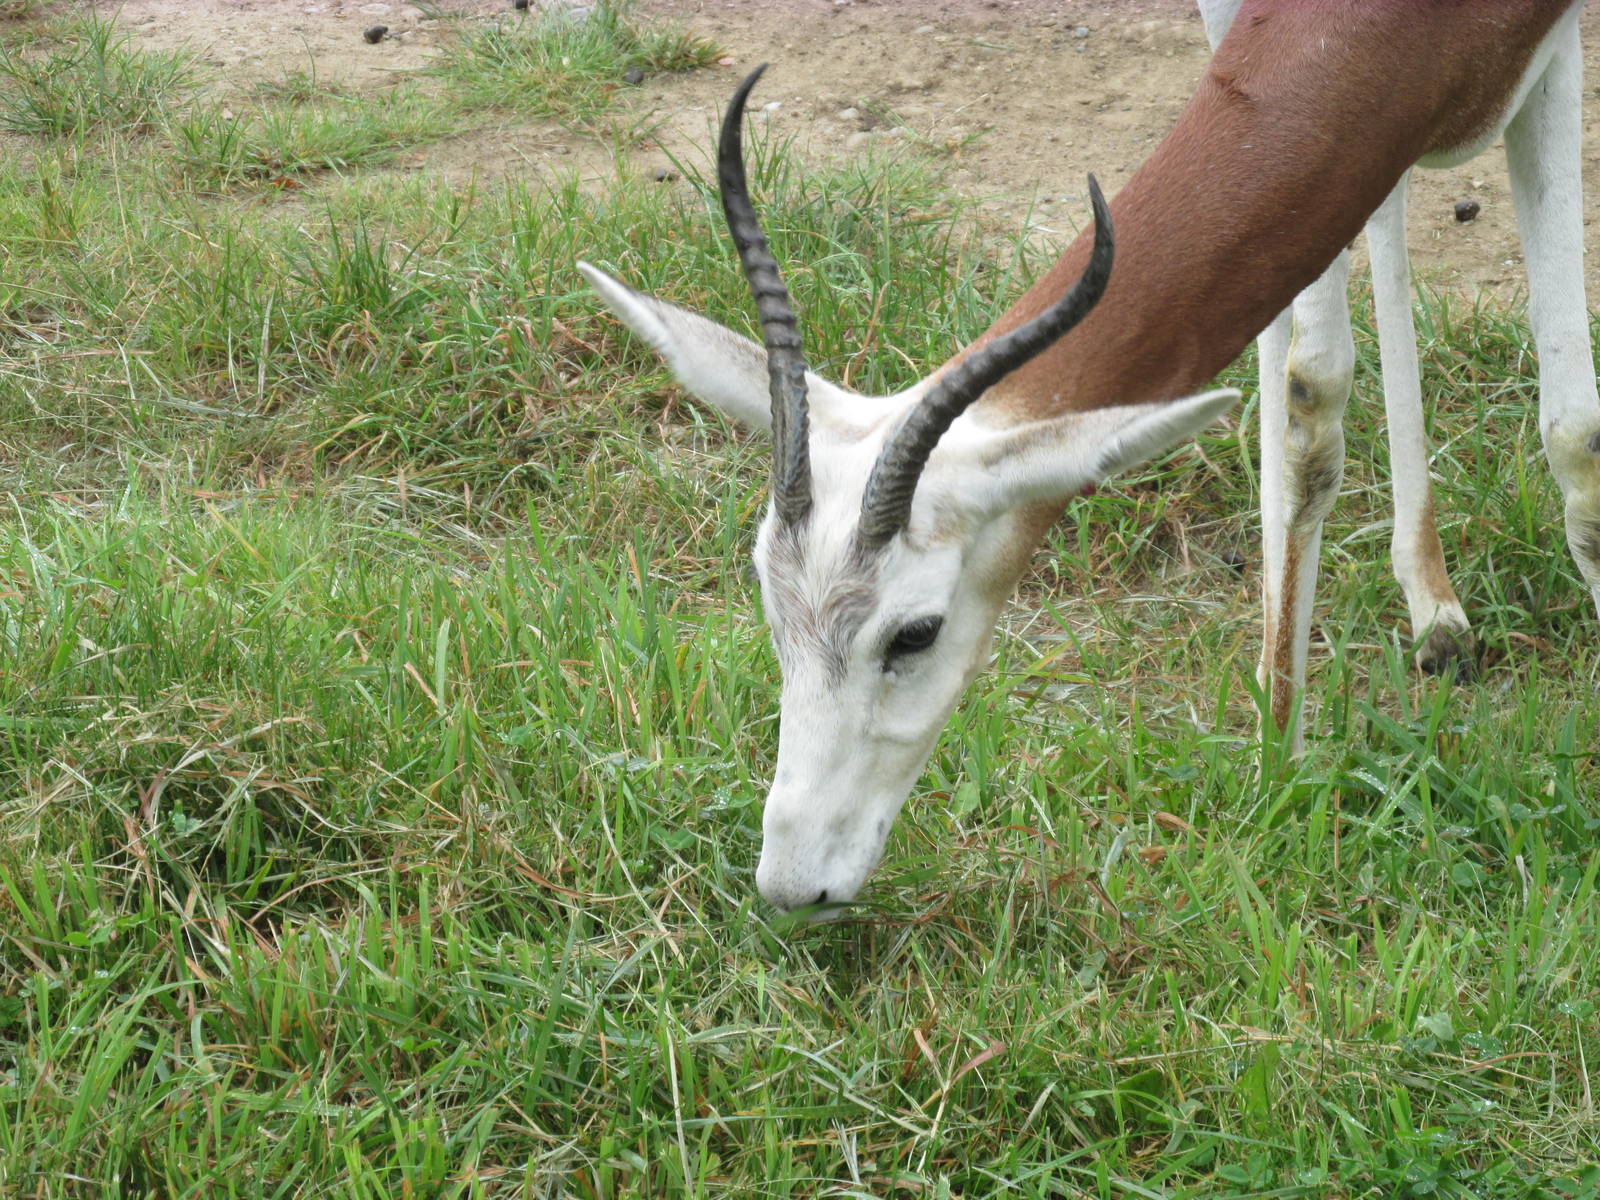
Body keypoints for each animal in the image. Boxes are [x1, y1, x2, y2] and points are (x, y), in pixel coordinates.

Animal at [580, 0, 1600, 914]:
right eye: (769, 607)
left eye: (915, 633)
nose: (792, 885)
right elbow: (1306, 387)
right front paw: (1278, 744)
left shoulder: (1556, 42)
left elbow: (1569, 432)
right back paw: (1429, 603)